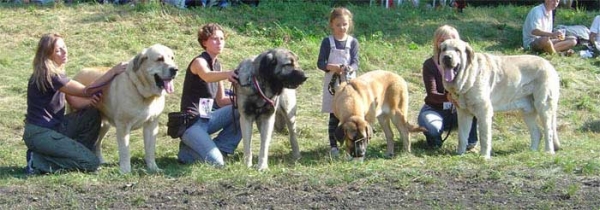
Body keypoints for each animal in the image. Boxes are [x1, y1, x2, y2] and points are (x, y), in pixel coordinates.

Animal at [72, 43, 178, 173]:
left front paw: (153, 168)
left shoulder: (151, 125)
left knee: (97, 144)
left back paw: (101, 161)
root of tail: (79, 72)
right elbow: (125, 151)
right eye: (159, 59)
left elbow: (150, 150)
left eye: (172, 58)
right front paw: (125, 171)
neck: (142, 91)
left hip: (104, 125)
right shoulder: (123, 126)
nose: (175, 69)